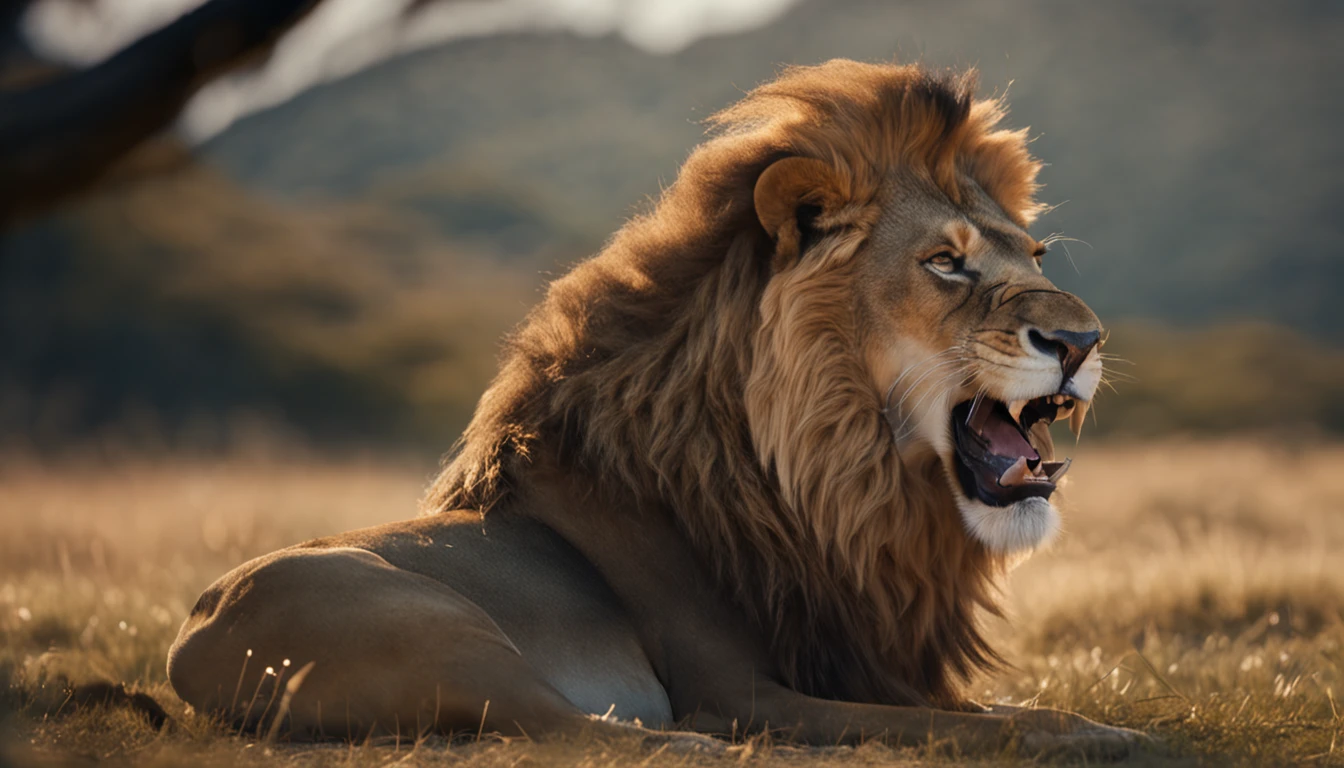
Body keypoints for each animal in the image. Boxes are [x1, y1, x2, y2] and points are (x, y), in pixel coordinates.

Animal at [168, 60, 1150, 758]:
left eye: (1034, 254)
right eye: (945, 263)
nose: (1083, 340)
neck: (827, 486)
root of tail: (191, 633)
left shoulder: (865, 663)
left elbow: (1006, 704)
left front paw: (1109, 724)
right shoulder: (753, 690)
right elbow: (998, 723)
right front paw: (1110, 736)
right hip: (431, 627)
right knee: (574, 726)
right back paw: (691, 745)